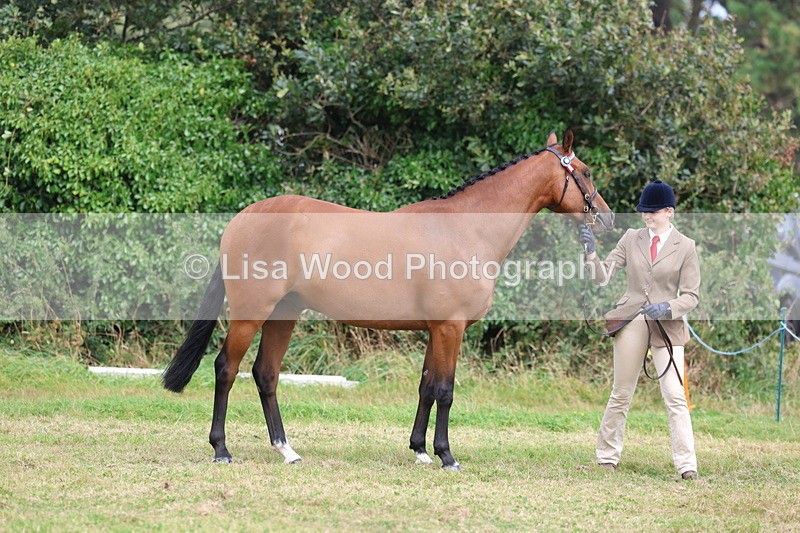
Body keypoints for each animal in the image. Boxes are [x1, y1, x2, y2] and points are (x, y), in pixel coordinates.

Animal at [162, 129, 615, 470]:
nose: (608, 218)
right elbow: (446, 389)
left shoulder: (436, 330)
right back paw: (221, 449)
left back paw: (286, 450)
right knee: (226, 368)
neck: (467, 229)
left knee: (265, 374)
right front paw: (447, 457)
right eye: (586, 172)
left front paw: (420, 451)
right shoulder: (450, 328)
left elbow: (426, 386)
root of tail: (241, 218)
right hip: (251, 313)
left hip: (284, 314)